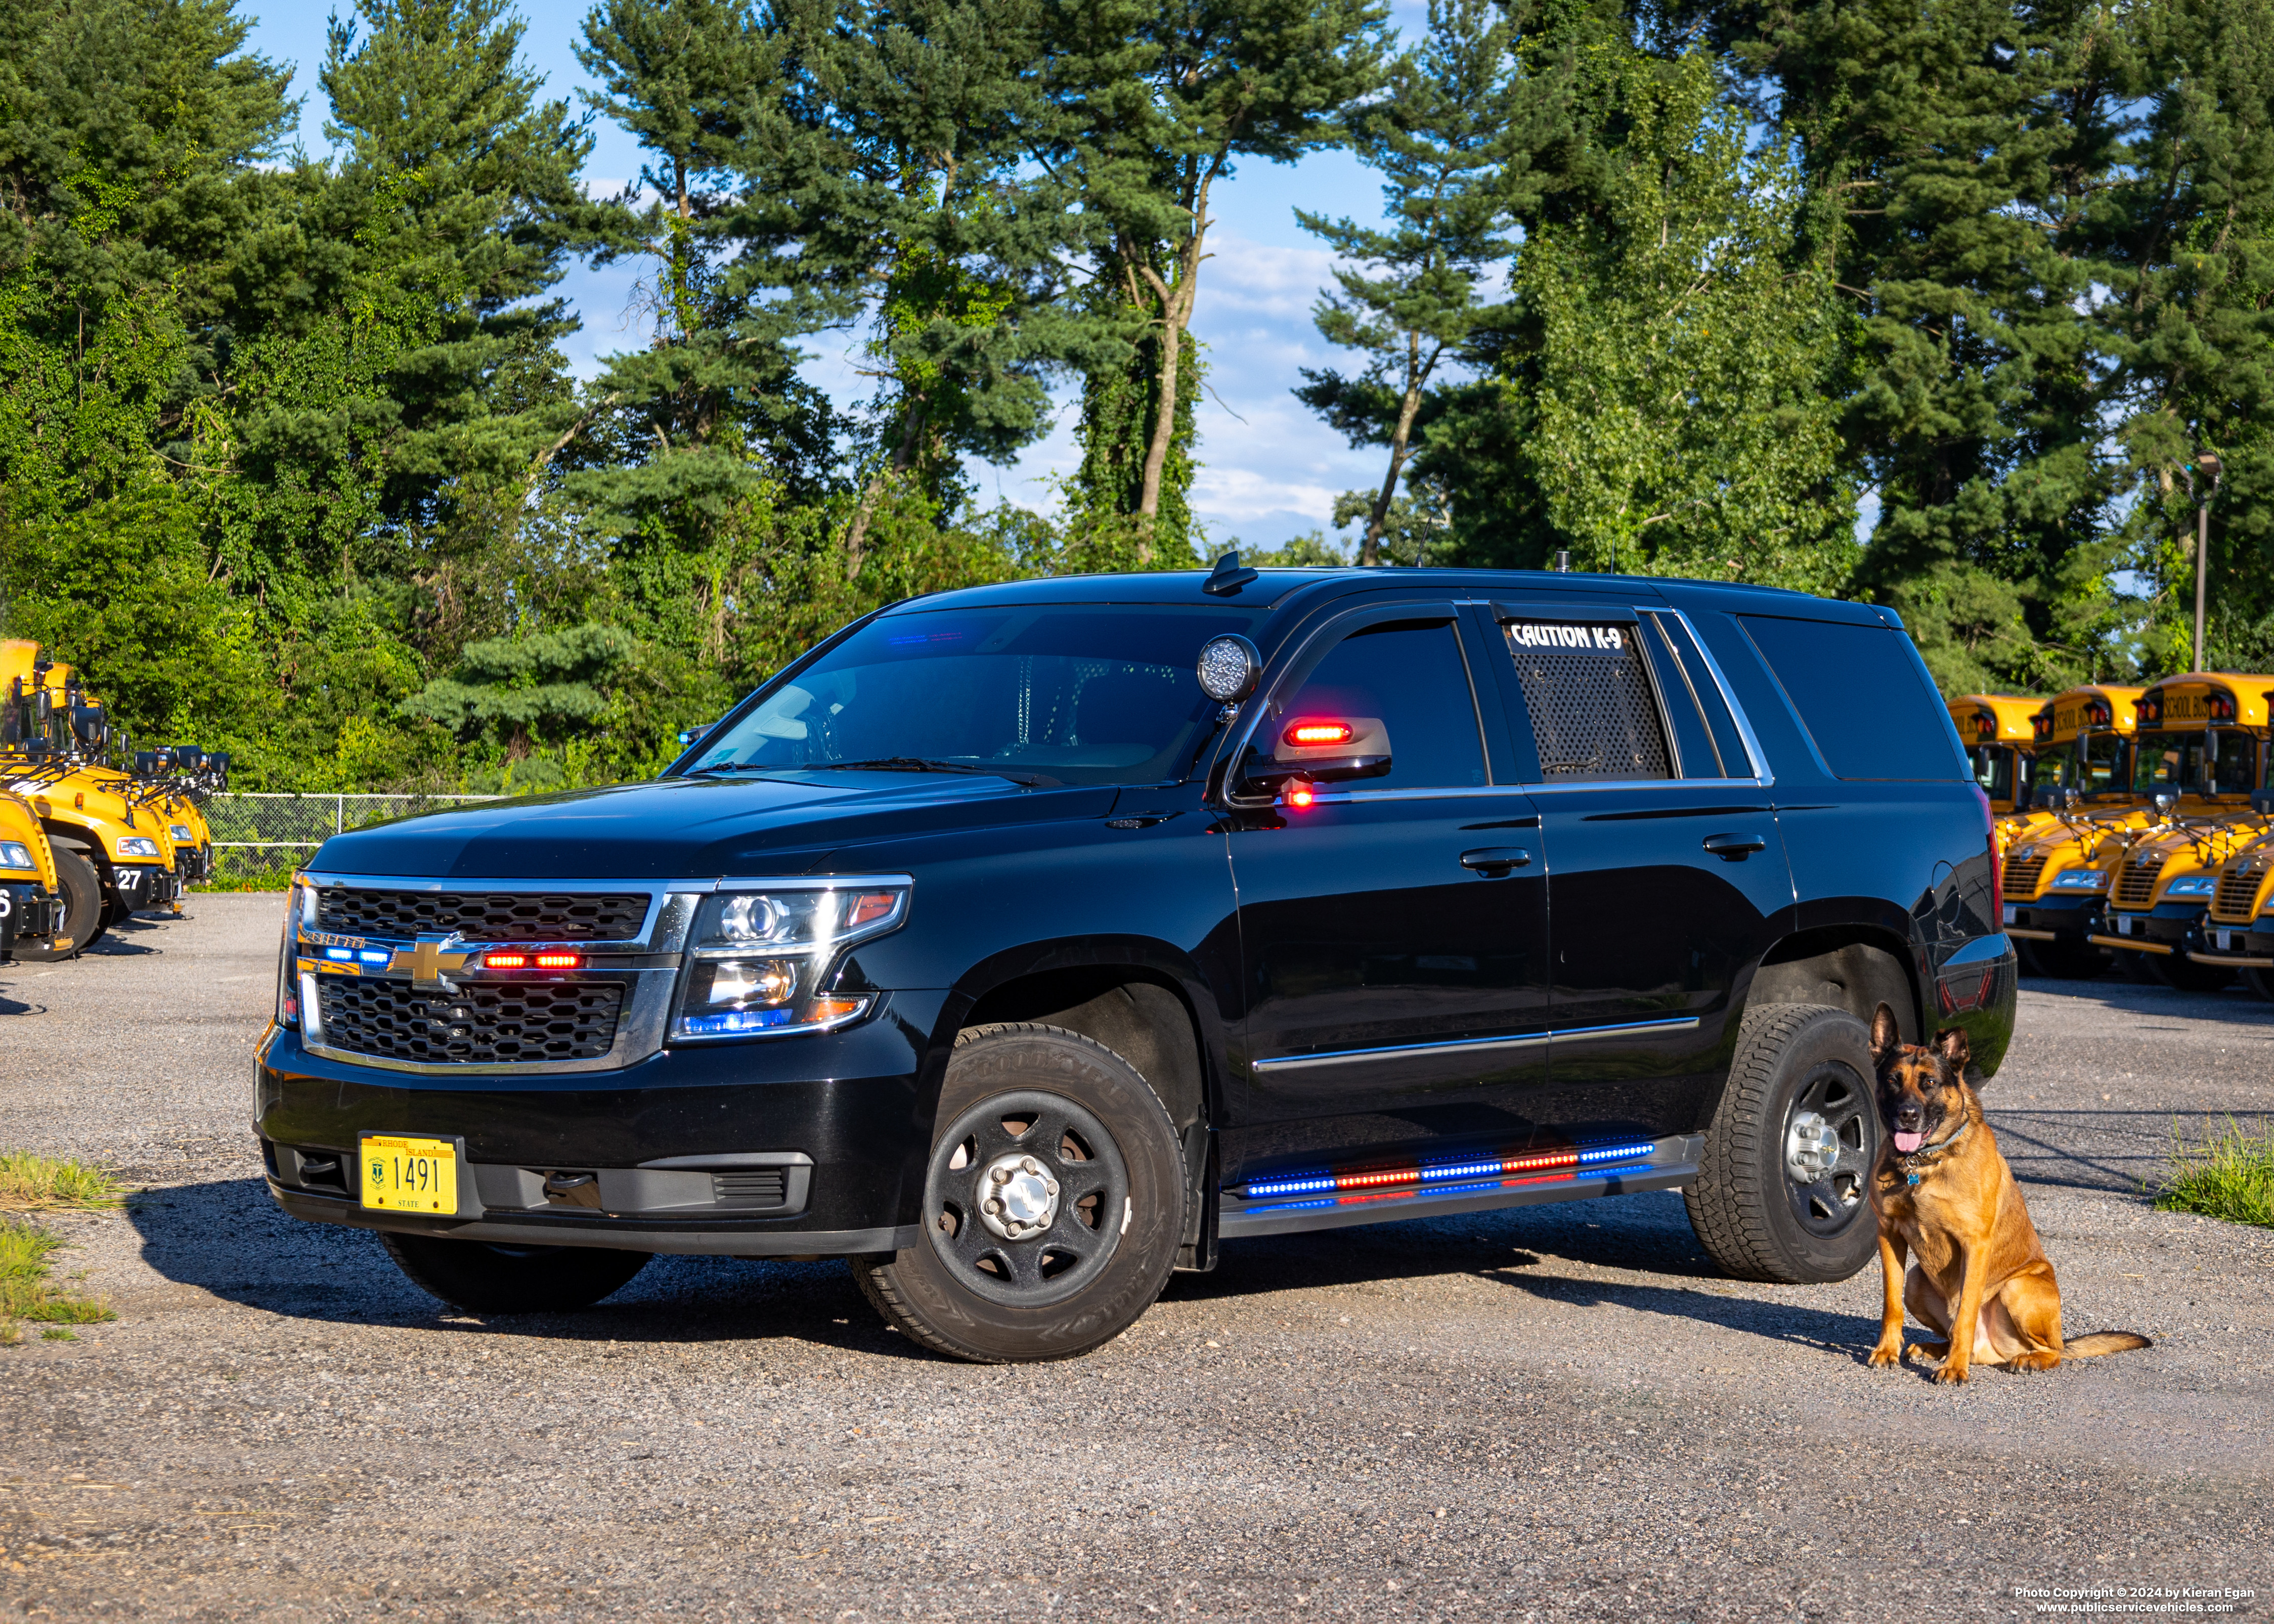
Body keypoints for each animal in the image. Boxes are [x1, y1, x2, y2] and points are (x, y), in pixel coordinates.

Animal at [1864, 1000, 2147, 1383]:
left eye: (1930, 1082)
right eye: (1893, 1080)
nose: (1907, 1115)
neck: (1924, 1164)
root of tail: (1994, 1350)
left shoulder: (1975, 1244)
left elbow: (1966, 1312)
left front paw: (1955, 1369)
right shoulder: (1890, 1234)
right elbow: (1890, 1303)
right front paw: (1888, 1350)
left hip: (2018, 1288)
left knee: (2051, 1351)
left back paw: (2021, 1359)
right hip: (1916, 1282)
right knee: (1951, 1332)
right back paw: (1935, 1349)